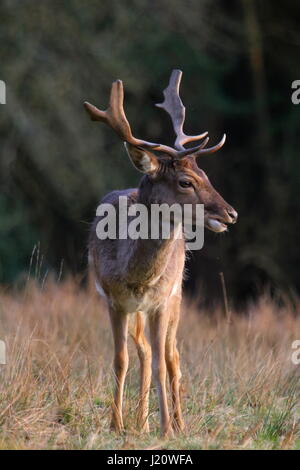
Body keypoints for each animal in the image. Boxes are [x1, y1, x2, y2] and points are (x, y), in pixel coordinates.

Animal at [84, 70, 237, 436]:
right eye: (185, 181)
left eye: (206, 175)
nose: (231, 213)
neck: (136, 276)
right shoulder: (113, 301)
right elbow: (121, 360)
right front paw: (116, 423)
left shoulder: (161, 300)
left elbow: (162, 364)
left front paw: (167, 429)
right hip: (140, 310)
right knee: (144, 353)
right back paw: (140, 422)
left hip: (178, 294)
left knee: (171, 357)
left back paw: (179, 423)